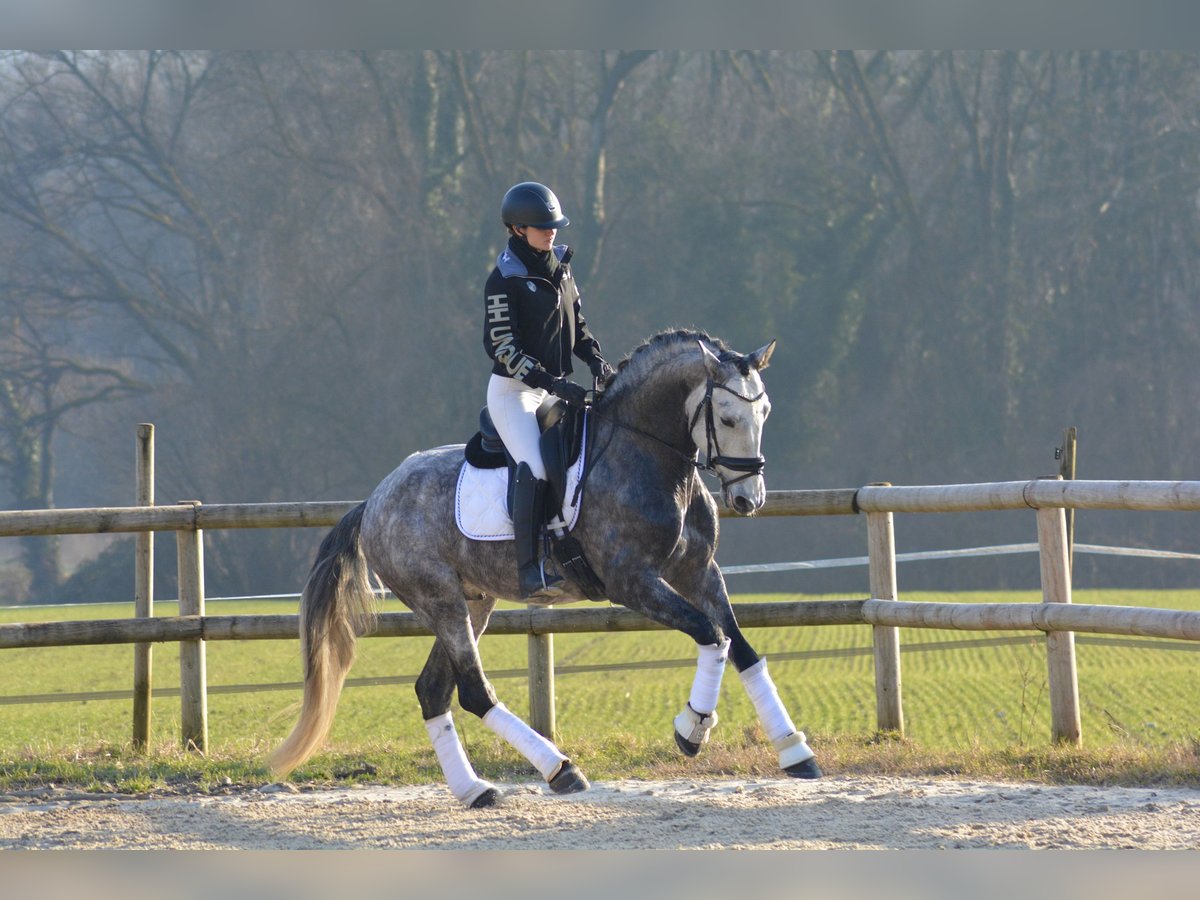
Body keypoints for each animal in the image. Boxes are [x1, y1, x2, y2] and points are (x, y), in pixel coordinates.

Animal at [267, 328, 820, 811]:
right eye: (727, 418)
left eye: (764, 412)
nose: (749, 499)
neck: (649, 455)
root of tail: (374, 500)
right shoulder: (633, 583)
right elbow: (711, 635)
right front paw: (691, 729)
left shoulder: (700, 573)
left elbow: (742, 648)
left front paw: (795, 752)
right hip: (440, 600)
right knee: (473, 691)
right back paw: (560, 769)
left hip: (473, 601)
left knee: (433, 690)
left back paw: (476, 791)